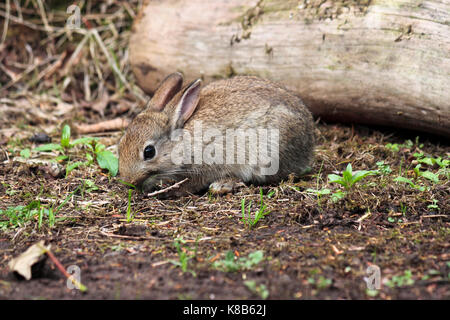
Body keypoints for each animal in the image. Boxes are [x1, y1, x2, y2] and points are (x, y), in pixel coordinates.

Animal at [119, 73, 316, 196]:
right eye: (120, 145)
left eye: (149, 152)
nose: (129, 181)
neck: (181, 142)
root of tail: (308, 144)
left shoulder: (206, 165)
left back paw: (222, 185)